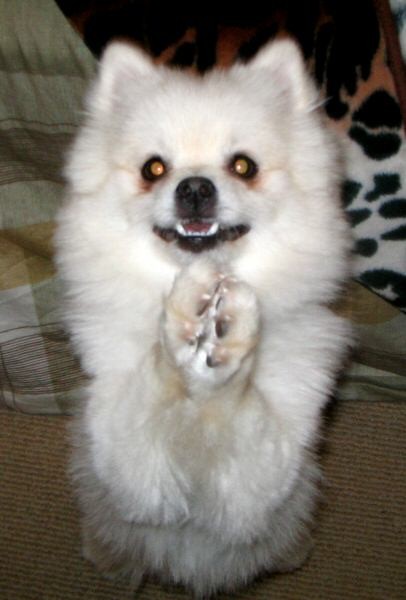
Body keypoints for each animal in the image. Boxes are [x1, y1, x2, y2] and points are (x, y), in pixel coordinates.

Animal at [55, 38, 351, 597]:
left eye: (243, 166)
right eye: (153, 169)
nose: (194, 187)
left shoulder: (260, 485)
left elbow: (238, 402)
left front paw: (231, 338)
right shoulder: (129, 471)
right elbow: (156, 375)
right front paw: (183, 315)